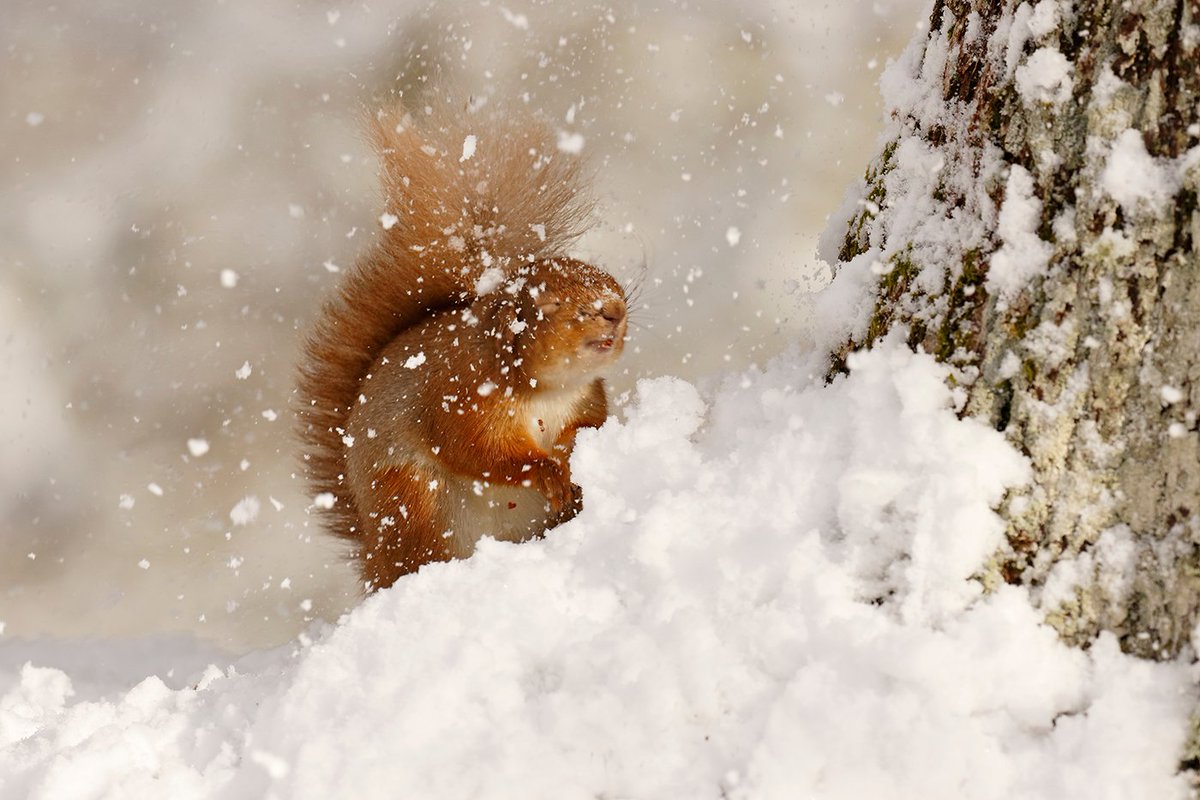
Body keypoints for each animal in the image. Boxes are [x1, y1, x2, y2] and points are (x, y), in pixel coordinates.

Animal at [296, 96, 628, 591]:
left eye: (614, 282)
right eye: (547, 305)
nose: (616, 310)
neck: (548, 390)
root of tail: (375, 560)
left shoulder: (586, 398)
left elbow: (593, 424)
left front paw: (571, 448)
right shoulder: (462, 395)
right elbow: (477, 450)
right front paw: (545, 470)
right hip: (413, 502)